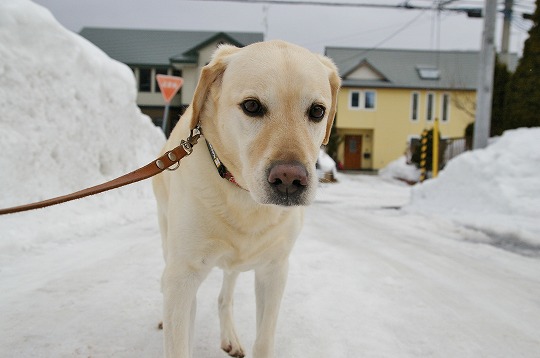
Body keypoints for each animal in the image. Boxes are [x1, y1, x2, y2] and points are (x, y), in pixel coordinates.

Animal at [152, 40, 340, 356]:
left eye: (317, 111)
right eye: (251, 106)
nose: (289, 180)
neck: (244, 199)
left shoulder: (274, 270)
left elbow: (264, 339)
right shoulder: (183, 273)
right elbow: (179, 339)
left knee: (225, 295)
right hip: (170, 242)